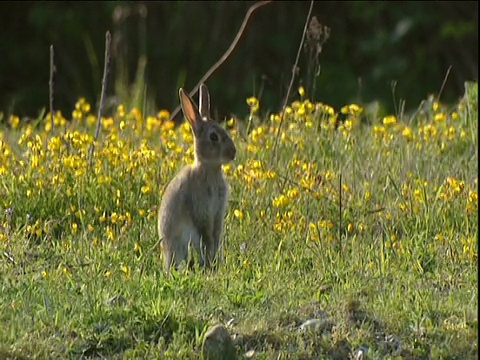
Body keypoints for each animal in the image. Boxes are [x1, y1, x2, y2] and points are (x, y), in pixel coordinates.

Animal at [158, 83, 236, 272]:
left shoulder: (217, 213)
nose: (233, 153)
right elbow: (208, 235)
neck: (209, 169)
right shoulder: (202, 211)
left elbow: (216, 235)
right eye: (213, 137)